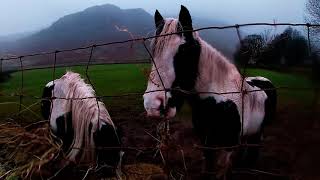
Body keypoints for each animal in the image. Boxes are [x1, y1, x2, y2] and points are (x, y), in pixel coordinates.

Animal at [144, 5, 276, 179]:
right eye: (153, 50)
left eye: (185, 49)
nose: (152, 105)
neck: (219, 102)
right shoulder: (206, 141)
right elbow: (208, 165)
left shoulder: (228, 145)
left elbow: (220, 168)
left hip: (258, 131)